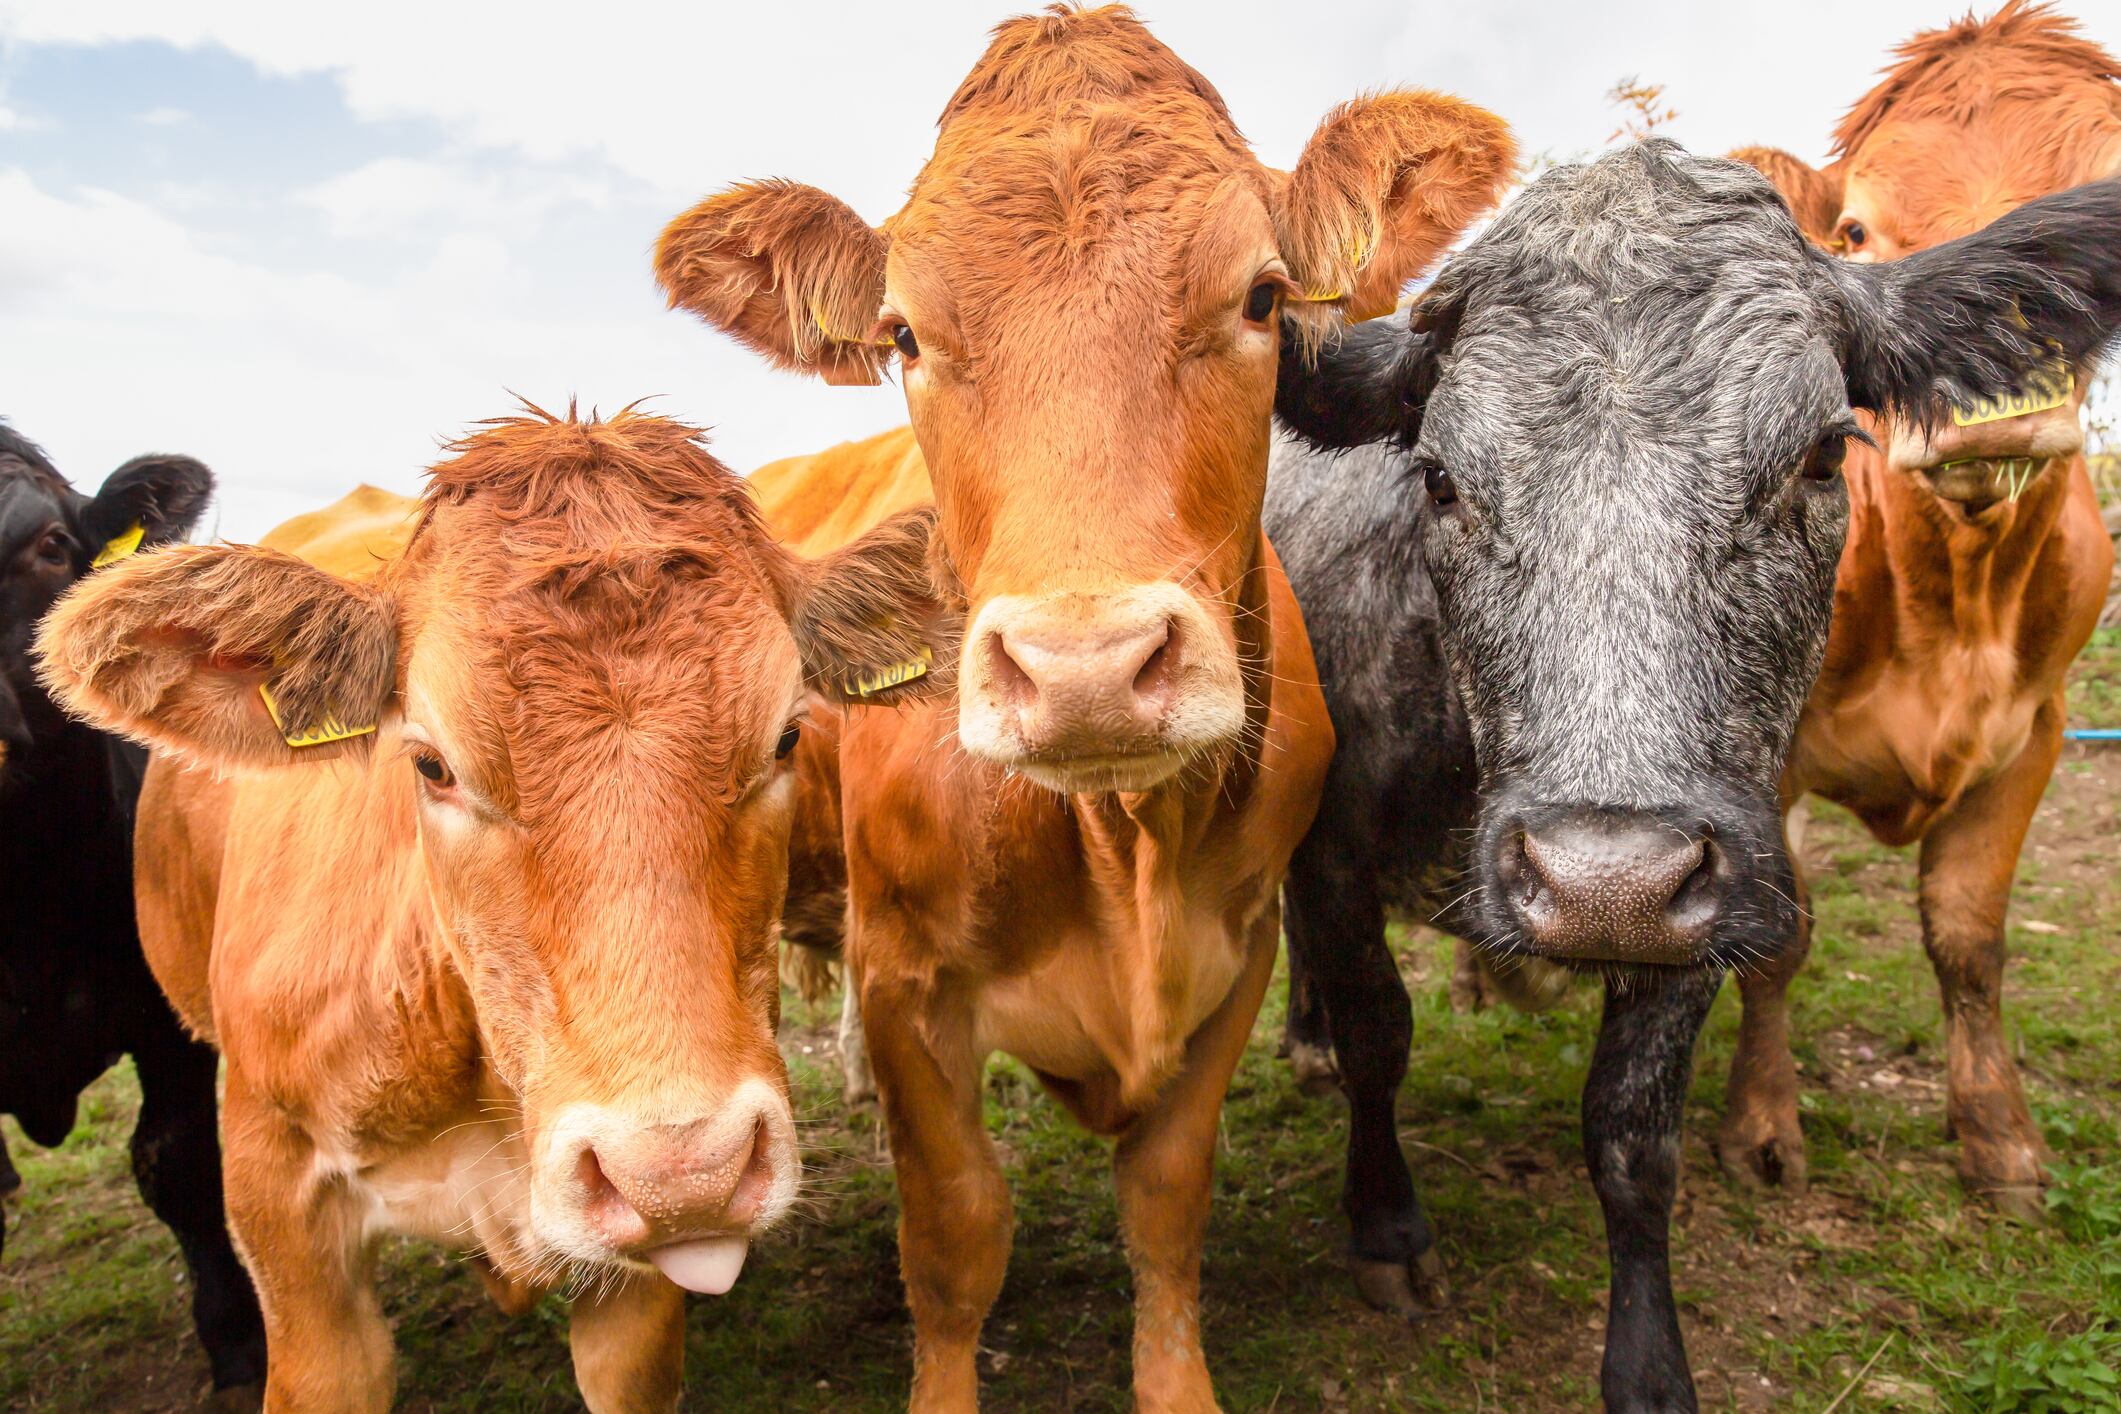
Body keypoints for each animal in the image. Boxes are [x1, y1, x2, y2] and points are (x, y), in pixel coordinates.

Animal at [653, 8, 1518, 1407]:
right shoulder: (909, 985)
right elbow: (956, 1235)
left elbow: (1166, 1202)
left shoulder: (1241, 951)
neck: (1121, 847)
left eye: (1261, 295)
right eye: (902, 335)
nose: (1087, 669)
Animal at [1255, 146, 2121, 1414]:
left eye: (1822, 454)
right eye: (1441, 480)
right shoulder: (1329, 847)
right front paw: (1386, 1228)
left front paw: (1649, 1363)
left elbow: (1633, 1132)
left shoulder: (1709, 877)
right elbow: (1379, 1035)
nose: (1600, 881)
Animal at [1722, 0, 2121, 1221]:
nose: (1990, 403)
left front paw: (1998, 1138)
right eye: (1854, 232)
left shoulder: (2035, 730)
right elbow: (1780, 934)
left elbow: (1968, 934)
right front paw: (1762, 1128)